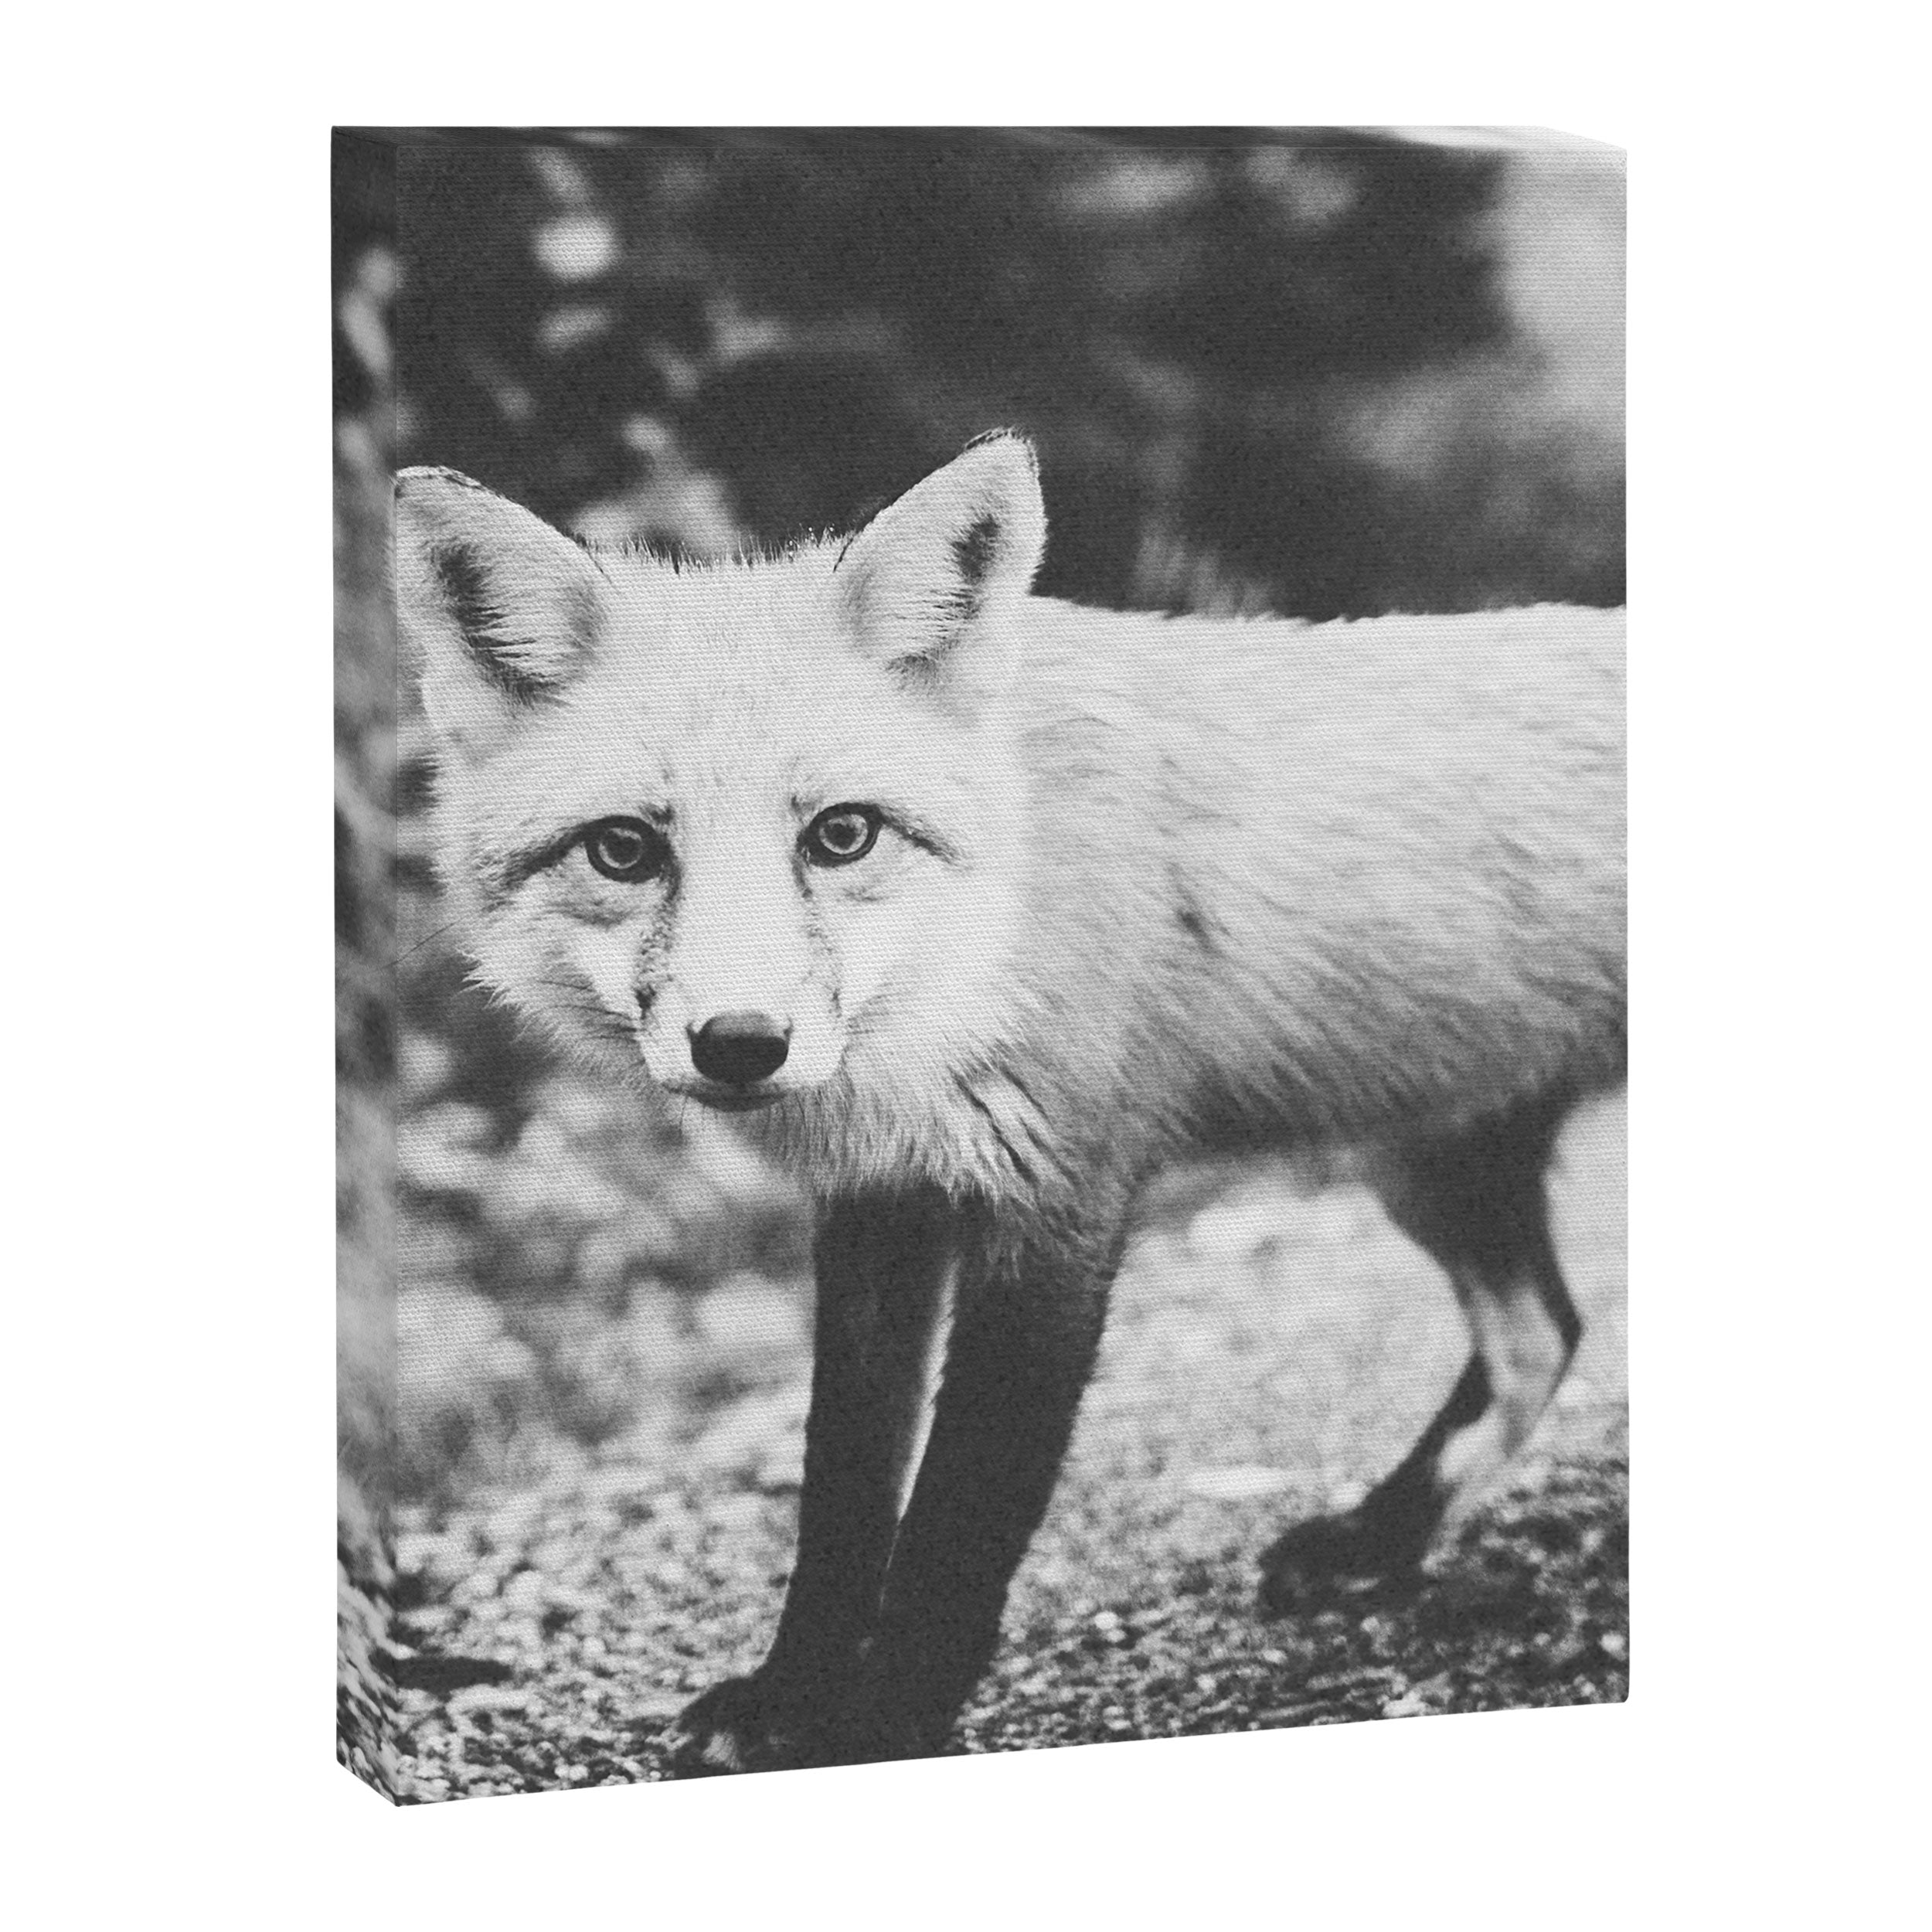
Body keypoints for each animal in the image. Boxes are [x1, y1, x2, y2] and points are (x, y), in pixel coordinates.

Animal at [395, 431, 1625, 1775]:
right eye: (624, 850)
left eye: (842, 836)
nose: (742, 1047)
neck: (980, 939)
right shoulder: (884, 1200)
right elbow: (843, 1491)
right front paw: (791, 1694)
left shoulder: (1061, 1195)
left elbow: (960, 1517)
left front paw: (883, 1724)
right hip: (1422, 1156)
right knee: (1542, 1334)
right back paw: (1379, 1541)